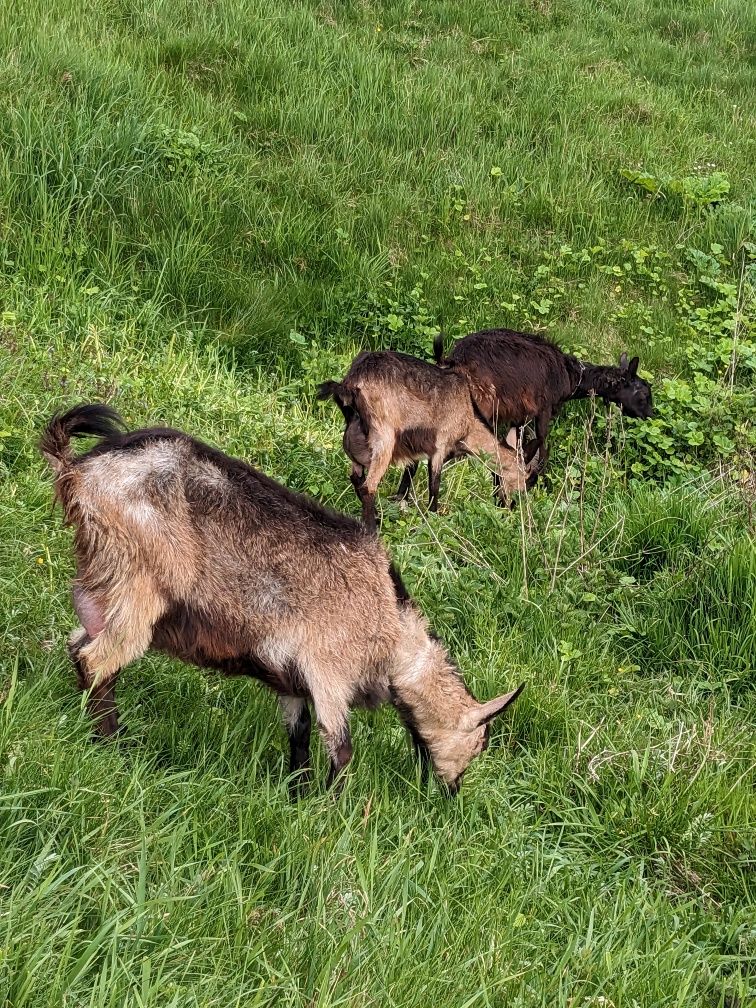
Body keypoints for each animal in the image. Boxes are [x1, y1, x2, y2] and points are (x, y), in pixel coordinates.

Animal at [42, 405, 528, 790]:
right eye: (480, 742)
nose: (453, 790)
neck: (391, 626)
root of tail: (77, 472)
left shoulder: (290, 679)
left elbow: (299, 736)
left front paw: (296, 794)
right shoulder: (329, 670)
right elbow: (340, 748)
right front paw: (332, 813)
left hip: (109, 587)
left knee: (78, 648)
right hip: (138, 584)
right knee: (97, 661)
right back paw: (110, 745)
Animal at [316, 350, 528, 532]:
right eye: (526, 478)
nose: (510, 507)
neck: (470, 418)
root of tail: (351, 384)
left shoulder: (414, 448)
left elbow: (410, 472)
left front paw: (400, 500)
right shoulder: (440, 444)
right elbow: (434, 484)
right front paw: (432, 517)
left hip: (356, 444)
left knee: (356, 478)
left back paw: (377, 516)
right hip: (384, 438)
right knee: (369, 487)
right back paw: (372, 527)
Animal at [431, 326, 657, 479]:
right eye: (644, 394)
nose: (651, 415)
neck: (571, 375)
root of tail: (454, 360)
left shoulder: (520, 416)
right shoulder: (543, 409)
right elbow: (542, 445)